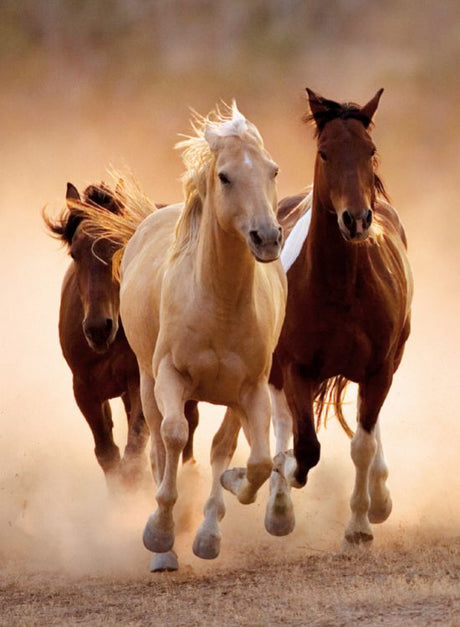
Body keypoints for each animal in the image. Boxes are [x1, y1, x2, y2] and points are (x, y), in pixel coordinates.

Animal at [43, 183, 199, 496]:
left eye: (118, 246)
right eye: (75, 253)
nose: (98, 328)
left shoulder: (138, 382)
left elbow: (134, 450)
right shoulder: (84, 389)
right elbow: (107, 453)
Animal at [81, 104, 286, 576]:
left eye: (273, 170)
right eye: (225, 176)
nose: (267, 238)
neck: (219, 302)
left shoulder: (251, 390)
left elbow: (253, 459)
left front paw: (226, 501)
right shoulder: (169, 377)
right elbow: (173, 438)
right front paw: (159, 534)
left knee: (221, 448)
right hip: (145, 382)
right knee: (159, 446)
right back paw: (164, 549)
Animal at [266, 88, 414, 544]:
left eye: (370, 150)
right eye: (325, 152)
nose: (357, 219)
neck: (340, 286)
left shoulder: (379, 368)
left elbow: (362, 443)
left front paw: (361, 523)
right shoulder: (295, 367)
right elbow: (305, 447)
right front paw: (285, 479)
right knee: (281, 420)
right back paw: (278, 506)